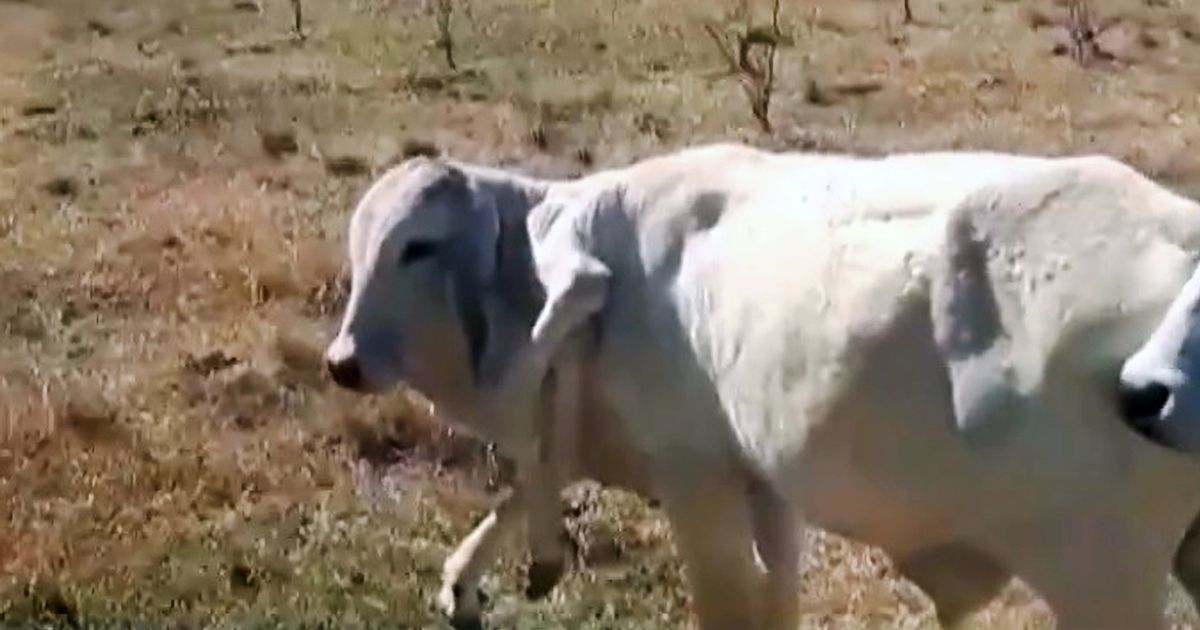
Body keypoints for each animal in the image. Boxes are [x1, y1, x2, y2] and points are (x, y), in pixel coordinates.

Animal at [325, 144, 1200, 630]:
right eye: (359, 242)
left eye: (417, 246)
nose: (342, 361)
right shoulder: (763, 479)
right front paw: (462, 585)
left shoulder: (696, 477)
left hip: (1102, 577)